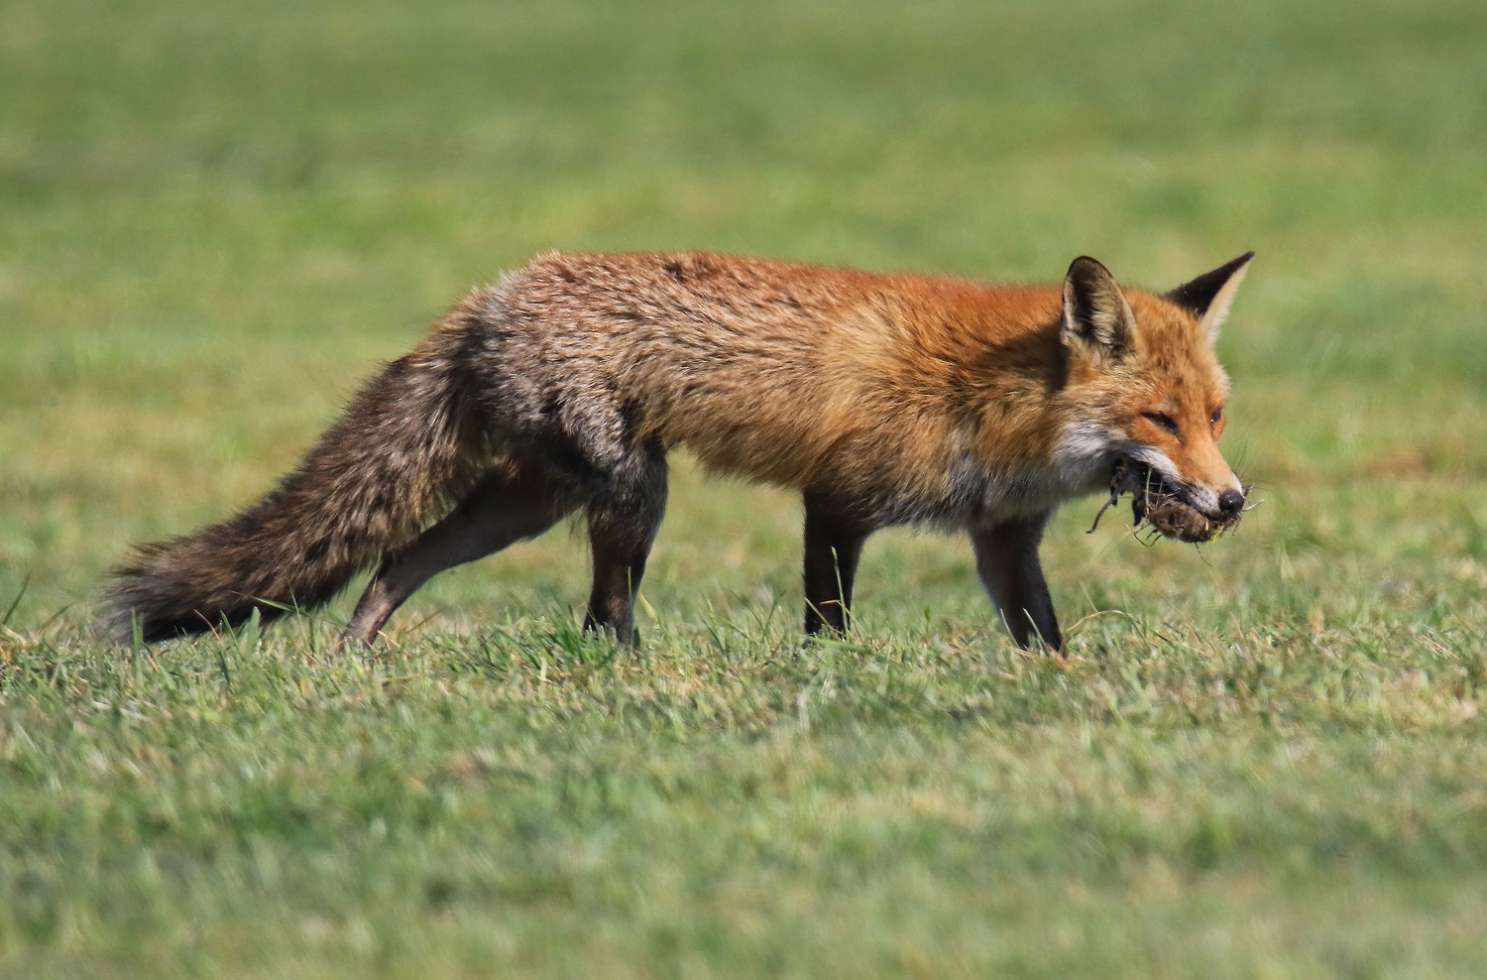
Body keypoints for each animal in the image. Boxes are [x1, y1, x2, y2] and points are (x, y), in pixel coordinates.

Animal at [98, 251, 1249, 651]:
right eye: (1160, 420)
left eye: (1214, 416)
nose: (1233, 501)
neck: (993, 401)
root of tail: (492, 291)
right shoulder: (837, 500)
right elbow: (826, 622)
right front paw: (824, 684)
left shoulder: (1003, 537)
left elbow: (1042, 637)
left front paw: (1060, 689)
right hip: (627, 492)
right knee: (601, 613)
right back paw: (629, 680)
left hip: (528, 502)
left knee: (394, 559)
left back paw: (351, 660)